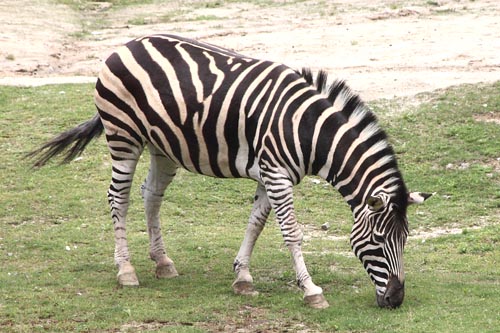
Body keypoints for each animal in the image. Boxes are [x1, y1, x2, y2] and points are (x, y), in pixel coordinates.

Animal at [27, 32, 432, 308]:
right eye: (378, 240)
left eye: (406, 239)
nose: (396, 300)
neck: (308, 130)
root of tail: (127, 44)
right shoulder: (276, 173)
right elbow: (292, 233)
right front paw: (311, 291)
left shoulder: (270, 174)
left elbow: (256, 224)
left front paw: (243, 277)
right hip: (123, 135)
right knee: (118, 198)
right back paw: (126, 270)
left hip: (163, 145)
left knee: (151, 195)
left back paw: (163, 262)